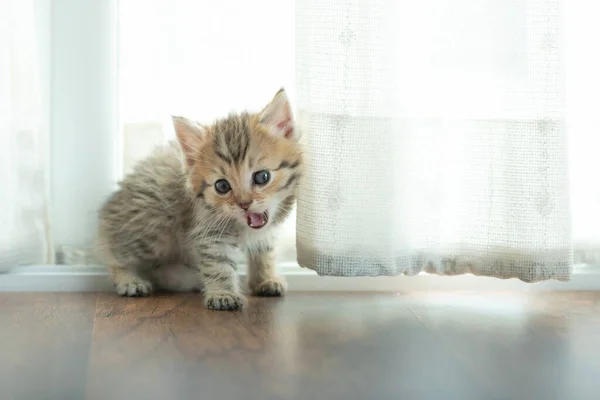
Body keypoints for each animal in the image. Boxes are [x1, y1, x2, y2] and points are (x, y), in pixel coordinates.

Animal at [98, 89, 304, 310]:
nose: (244, 204)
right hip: (153, 222)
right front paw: (223, 294)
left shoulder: (266, 231)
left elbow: (264, 251)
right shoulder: (209, 229)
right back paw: (129, 279)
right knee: (114, 251)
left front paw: (265, 279)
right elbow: (219, 262)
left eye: (262, 177)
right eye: (222, 186)